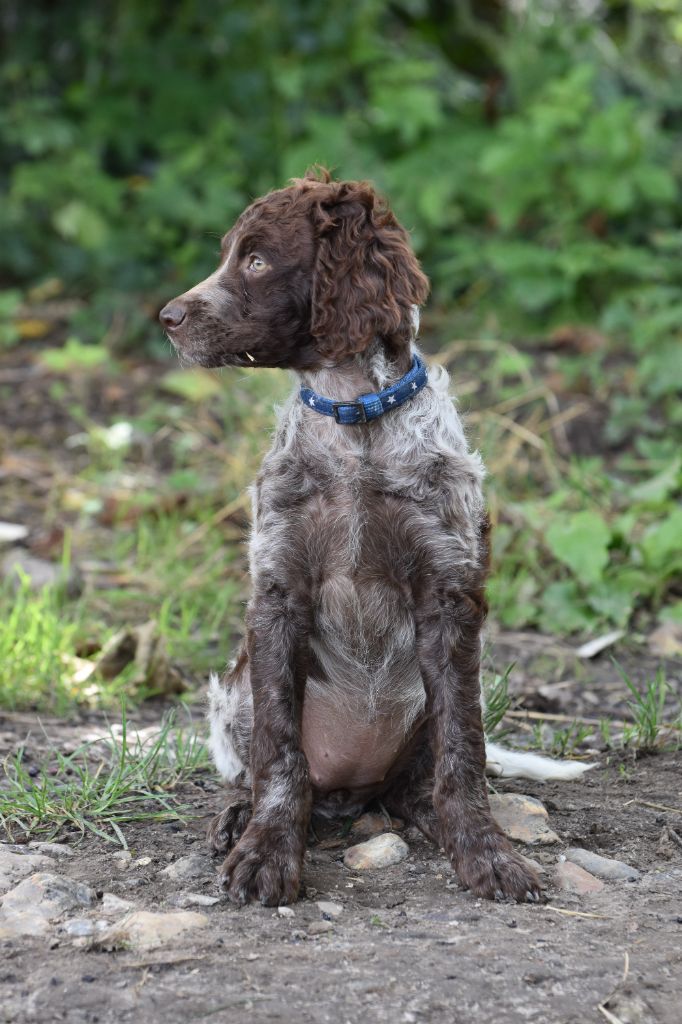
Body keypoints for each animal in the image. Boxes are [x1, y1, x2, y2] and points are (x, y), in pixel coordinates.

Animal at [160, 172, 589, 909]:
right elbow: (280, 752)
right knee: (270, 769)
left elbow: (462, 752)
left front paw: (484, 851)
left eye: (257, 261)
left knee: (421, 779)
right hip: (234, 698)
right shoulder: (277, 592)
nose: (167, 316)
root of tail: (352, 792)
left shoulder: (448, 592)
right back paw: (242, 817)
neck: (354, 415)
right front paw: (267, 851)